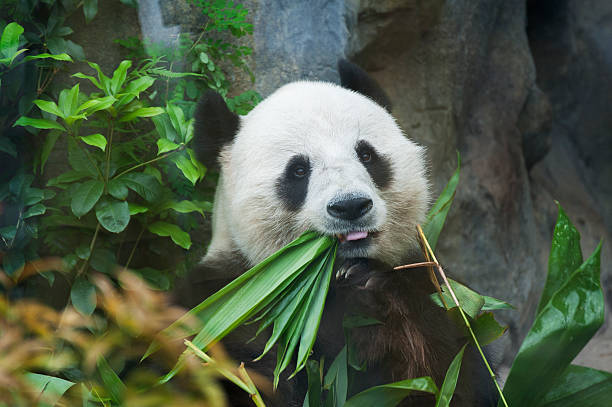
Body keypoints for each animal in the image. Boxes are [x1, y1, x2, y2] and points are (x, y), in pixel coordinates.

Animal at [176, 60, 498, 407]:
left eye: (367, 155)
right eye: (298, 170)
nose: (351, 206)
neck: (321, 285)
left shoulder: (432, 285)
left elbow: (445, 377)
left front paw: (369, 285)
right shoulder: (224, 302)